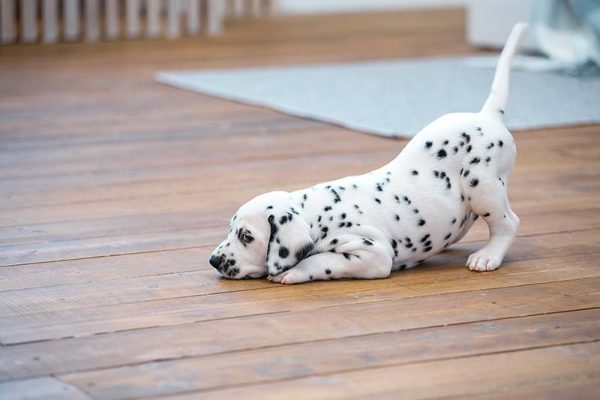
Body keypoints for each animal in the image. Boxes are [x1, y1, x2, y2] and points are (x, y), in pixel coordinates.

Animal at [209, 23, 528, 284]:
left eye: (247, 236)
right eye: (231, 229)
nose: (213, 260)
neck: (318, 215)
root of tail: (487, 115)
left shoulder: (372, 253)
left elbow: (321, 260)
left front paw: (294, 271)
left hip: (482, 185)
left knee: (508, 223)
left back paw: (488, 256)